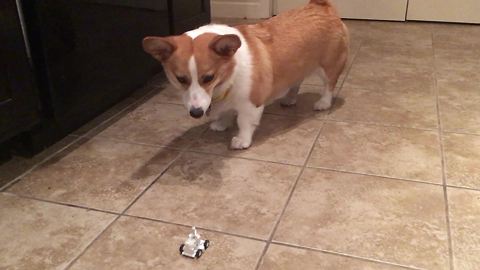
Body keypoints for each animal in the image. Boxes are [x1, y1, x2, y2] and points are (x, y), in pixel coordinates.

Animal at [142, 0, 348, 148]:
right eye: (180, 79)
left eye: (208, 78)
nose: (196, 113)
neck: (227, 77)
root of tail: (321, 6)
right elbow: (225, 113)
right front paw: (221, 124)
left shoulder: (250, 104)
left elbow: (244, 122)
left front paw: (241, 141)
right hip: (296, 66)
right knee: (296, 81)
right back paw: (289, 99)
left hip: (328, 66)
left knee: (329, 85)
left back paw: (323, 103)